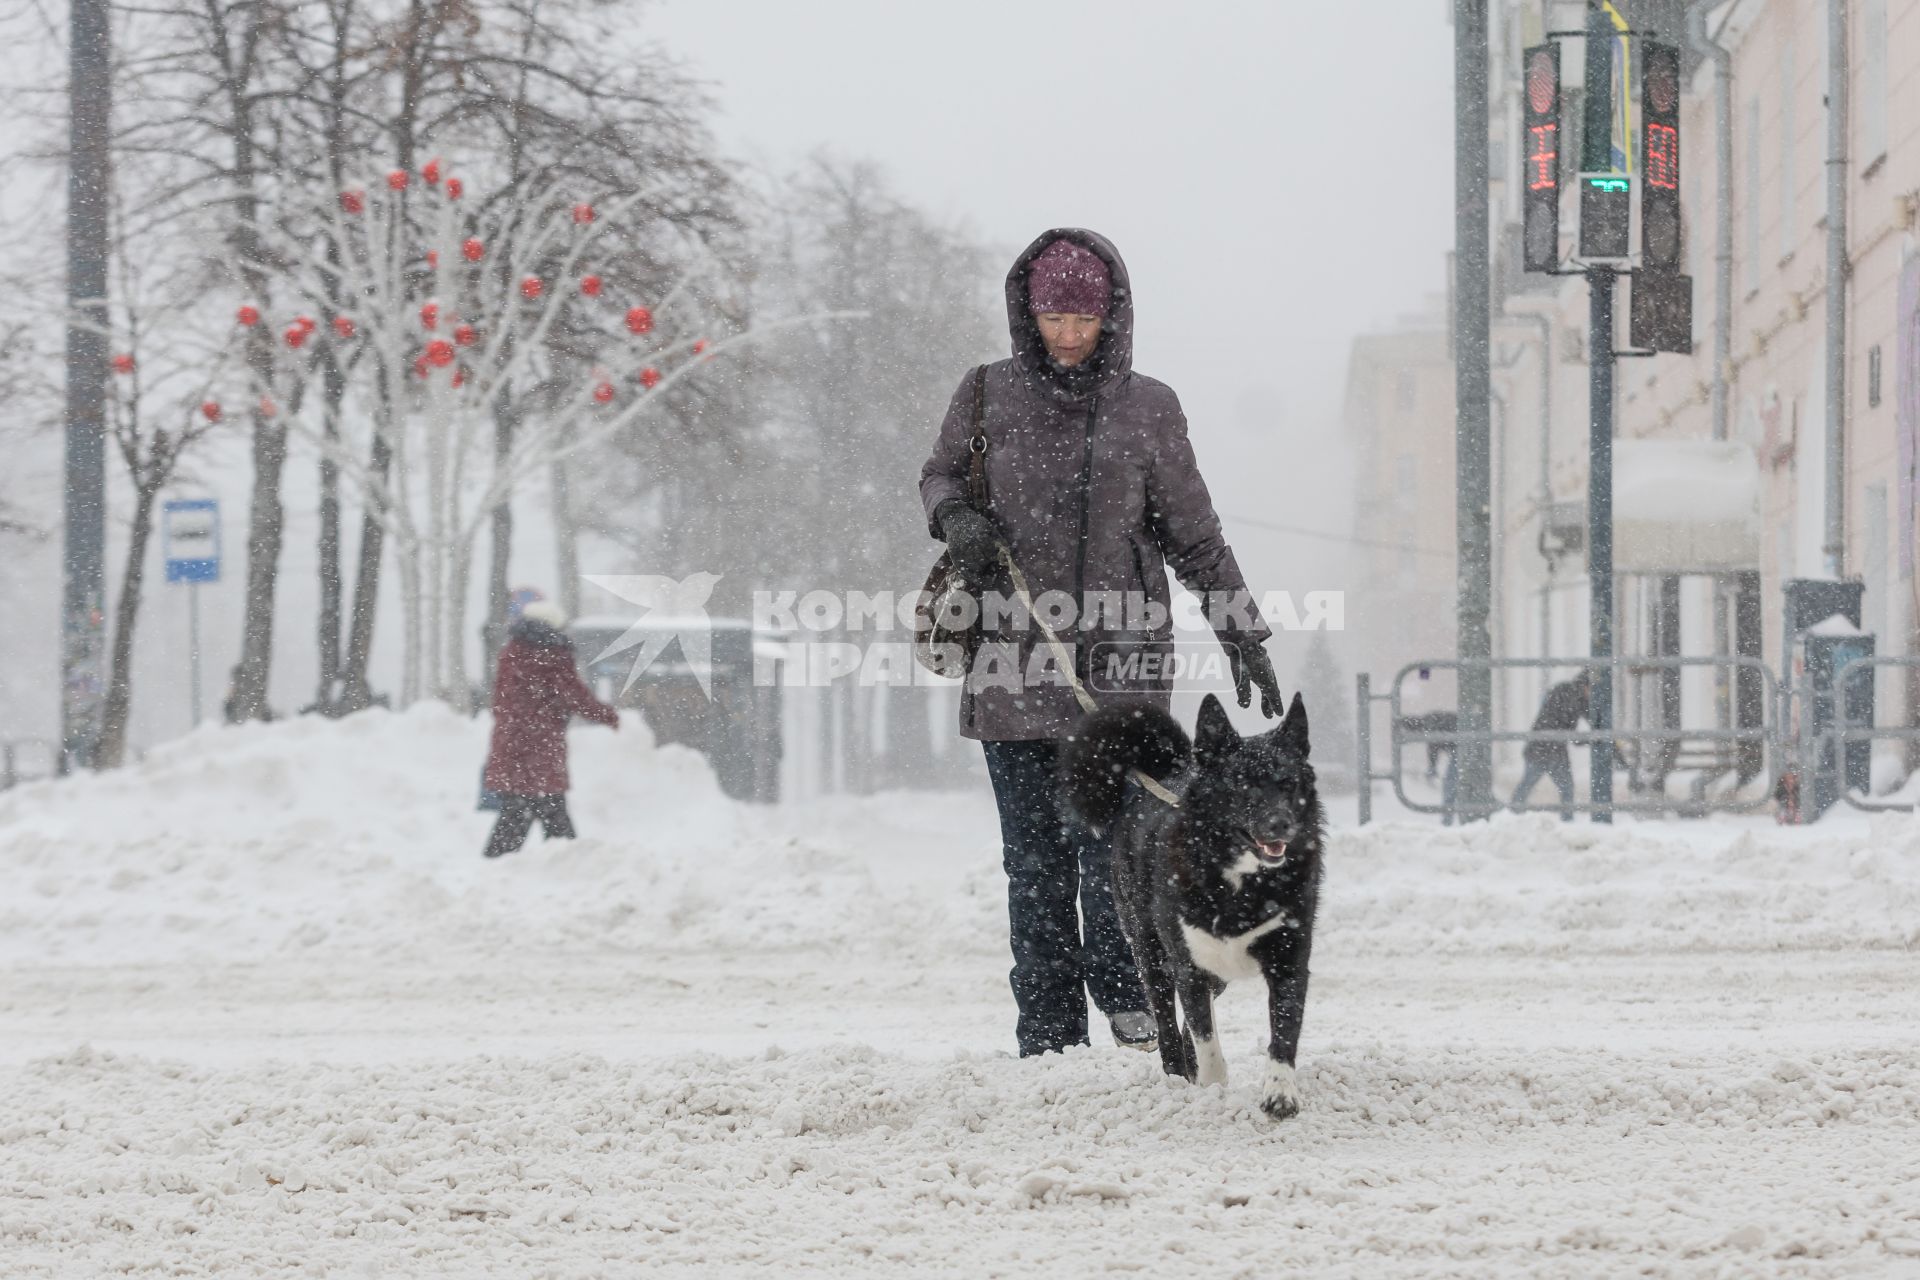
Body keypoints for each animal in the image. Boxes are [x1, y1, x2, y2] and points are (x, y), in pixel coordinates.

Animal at [1059, 690, 1328, 1120]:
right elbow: (1206, 1039)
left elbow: (1283, 1034)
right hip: (1150, 952)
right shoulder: (1189, 966)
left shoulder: (1289, 962)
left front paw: (1280, 1094)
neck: (1242, 879)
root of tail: (1169, 774)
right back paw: (1175, 1075)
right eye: (1243, 786)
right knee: (1168, 1021)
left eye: (1288, 784)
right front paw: (1212, 1091)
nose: (1281, 823)